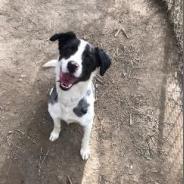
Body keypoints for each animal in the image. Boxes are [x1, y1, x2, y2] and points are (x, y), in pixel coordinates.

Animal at [43, 31, 110, 160]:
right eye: (69, 49)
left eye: (88, 58)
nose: (72, 65)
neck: (69, 98)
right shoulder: (54, 113)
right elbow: (57, 124)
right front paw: (55, 133)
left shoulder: (88, 124)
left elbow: (85, 139)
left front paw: (84, 150)